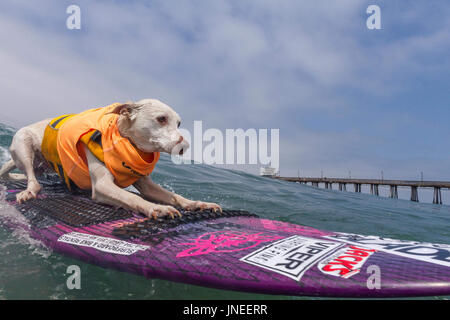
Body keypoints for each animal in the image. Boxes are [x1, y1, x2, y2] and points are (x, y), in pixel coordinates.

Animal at [0, 100, 221, 219]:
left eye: (179, 123)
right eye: (161, 119)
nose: (184, 146)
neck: (127, 142)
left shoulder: (147, 185)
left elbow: (176, 197)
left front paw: (198, 204)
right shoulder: (102, 186)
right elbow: (133, 197)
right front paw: (156, 208)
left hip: (40, 165)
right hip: (22, 143)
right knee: (32, 180)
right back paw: (29, 191)